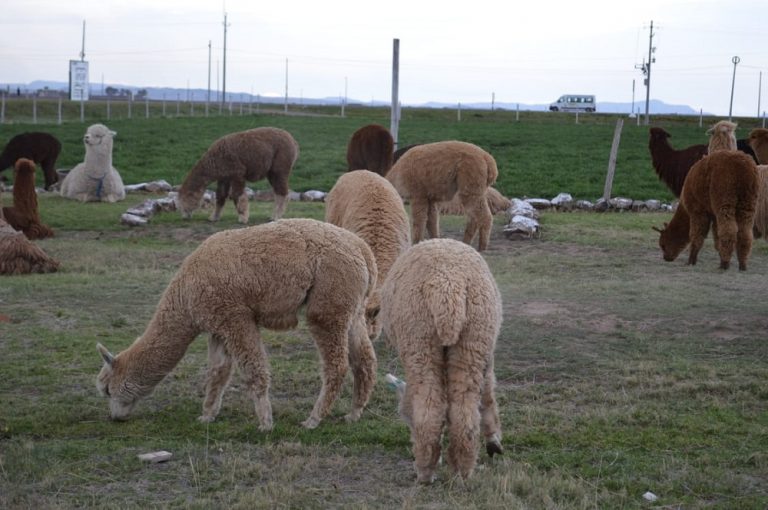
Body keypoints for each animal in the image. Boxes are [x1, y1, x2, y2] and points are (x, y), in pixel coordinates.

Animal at [95, 219, 378, 430]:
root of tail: (363, 250)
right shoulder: (218, 325)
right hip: (352, 310)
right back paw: (354, 414)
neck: (185, 297)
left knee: (337, 365)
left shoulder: (235, 317)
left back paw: (313, 419)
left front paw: (265, 422)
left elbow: (253, 369)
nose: (114, 417)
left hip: (328, 304)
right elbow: (218, 372)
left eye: (107, 390)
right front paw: (207, 415)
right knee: (364, 359)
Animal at [379, 238, 503, 483]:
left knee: (432, 409)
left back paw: (432, 470)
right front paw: (493, 441)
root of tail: (447, 287)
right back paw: (454, 470)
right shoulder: (488, 354)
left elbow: (488, 392)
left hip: (426, 337)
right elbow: (487, 393)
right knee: (458, 410)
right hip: (468, 338)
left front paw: (493, 441)